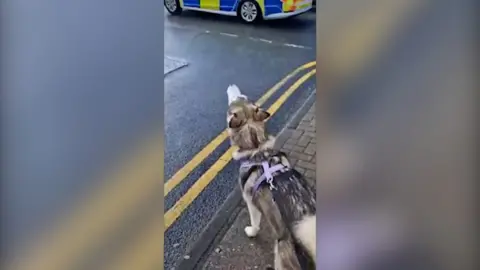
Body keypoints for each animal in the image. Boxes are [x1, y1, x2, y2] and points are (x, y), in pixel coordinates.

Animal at [226, 85, 316, 270]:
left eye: (237, 99)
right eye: (243, 97)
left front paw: (252, 232)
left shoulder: (250, 202)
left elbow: (255, 222)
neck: (257, 149)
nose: (231, 86)